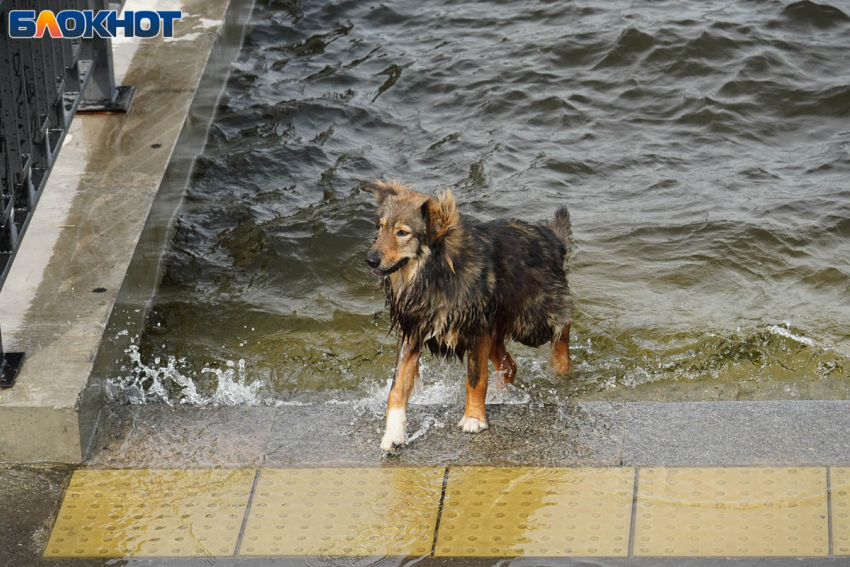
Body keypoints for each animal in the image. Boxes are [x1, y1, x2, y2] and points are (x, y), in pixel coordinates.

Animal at [362, 182, 572, 452]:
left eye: (402, 232)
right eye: (380, 228)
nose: (370, 260)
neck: (431, 276)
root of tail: (551, 237)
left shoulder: (476, 332)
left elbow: (475, 379)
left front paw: (473, 418)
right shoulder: (412, 333)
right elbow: (397, 388)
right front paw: (393, 433)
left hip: (530, 322)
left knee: (564, 323)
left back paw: (561, 365)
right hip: (498, 329)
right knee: (510, 366)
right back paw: (499, 395)